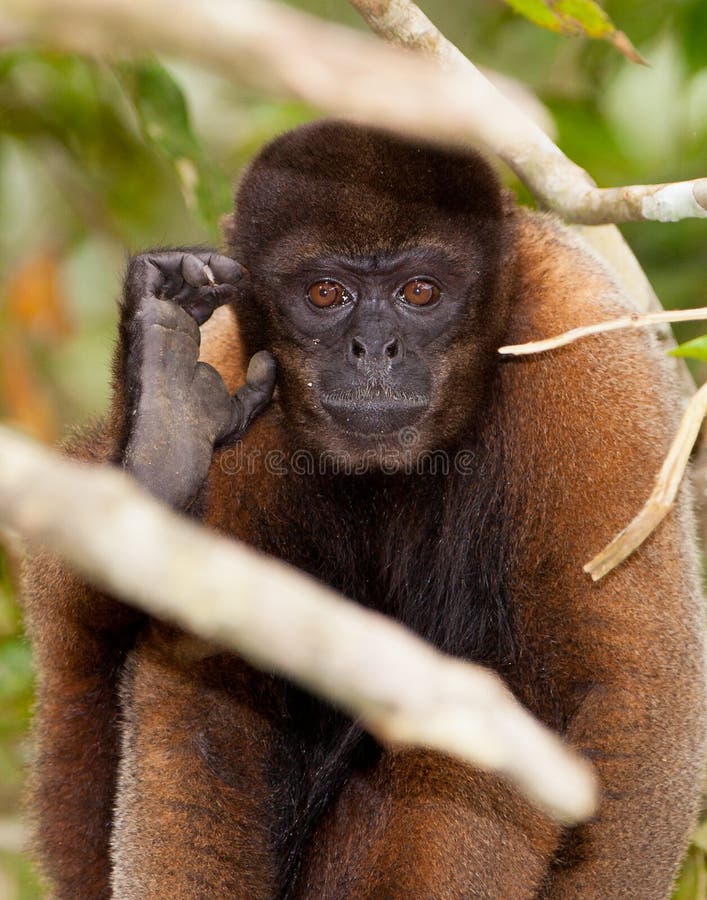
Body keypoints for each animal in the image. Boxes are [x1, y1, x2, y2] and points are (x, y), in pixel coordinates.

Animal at [22, 121, 707, 900]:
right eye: (326, 293)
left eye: (420, 291)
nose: (374, 349)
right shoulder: (234, 364)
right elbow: (203, 700)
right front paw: (165, 419)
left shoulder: (590, 348)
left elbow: (631, 700)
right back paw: (161, 438)